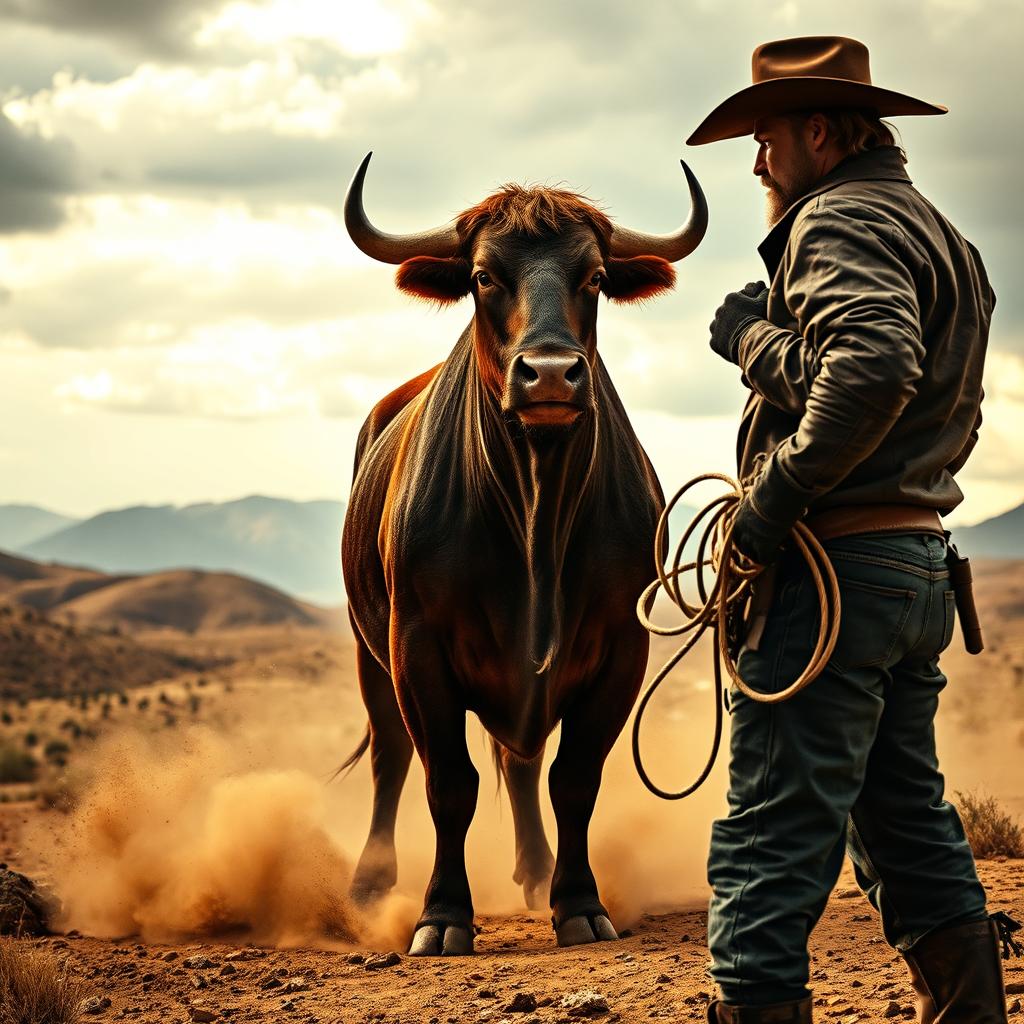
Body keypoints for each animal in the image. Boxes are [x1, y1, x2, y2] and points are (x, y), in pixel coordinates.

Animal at [339, 153, 707, 956]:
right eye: (483, 276)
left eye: (594, 276)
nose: (549, 375)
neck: (536, 516)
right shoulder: (418, 648)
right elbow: (449, 783)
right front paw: (443, 916)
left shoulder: (619, 649)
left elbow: (573, 779)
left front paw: (578, 903)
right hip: (370, 654)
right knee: (390, 756)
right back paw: (371, 882)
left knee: (521, 761)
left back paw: (536, 870)